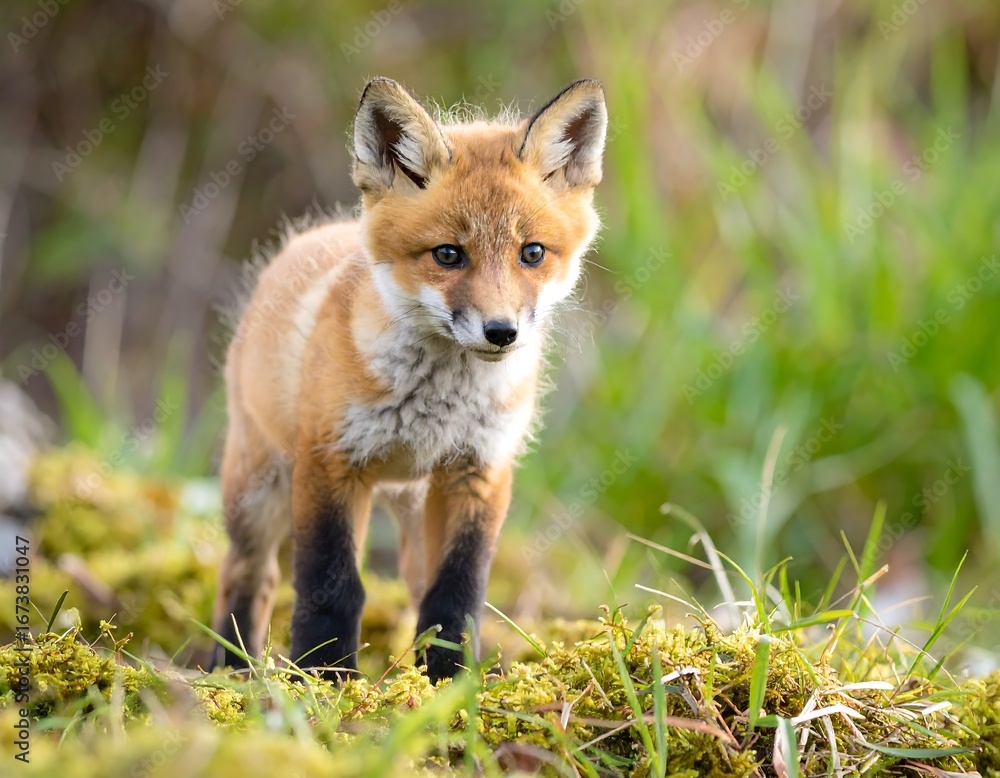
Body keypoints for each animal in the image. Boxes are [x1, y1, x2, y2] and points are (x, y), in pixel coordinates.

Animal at [212, 77, 607, 681]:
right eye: (448, 254)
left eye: (532, 253)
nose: (502, 332)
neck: (438, 407)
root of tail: (305, 239)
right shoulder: (329, 461)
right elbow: (332, 587)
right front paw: (326, 677)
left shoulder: (479, 472)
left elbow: (455, 597)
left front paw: (447, 682)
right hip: (259, 488)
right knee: (249, 573)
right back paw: (230, 669)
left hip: (419, 507)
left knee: (417, 582)